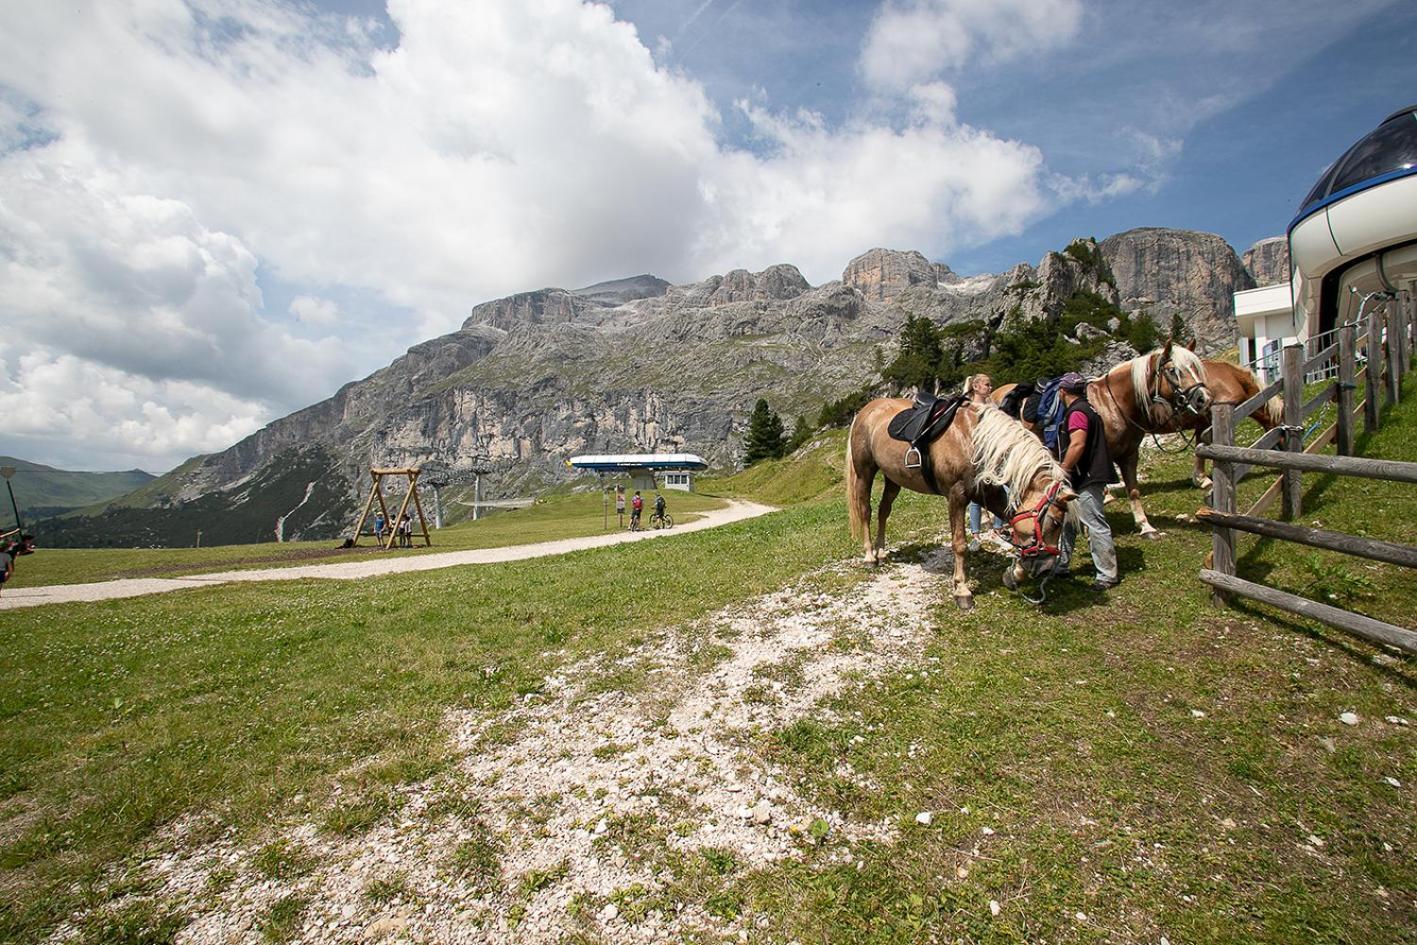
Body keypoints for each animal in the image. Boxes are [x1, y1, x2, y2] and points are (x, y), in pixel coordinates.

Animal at [844, 402, 1065, 614]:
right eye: (1055, 522)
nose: (1046, 569)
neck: (974, 443)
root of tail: (865, 411)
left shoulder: (989, 493)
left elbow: (1013, 521)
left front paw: (1015, 574)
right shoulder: (956, 496)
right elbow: (959, 544)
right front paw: (962, 590)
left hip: (893, 479)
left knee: (883, 511)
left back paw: (881, 552)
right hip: (864, 473)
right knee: (866, 511)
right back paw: (870, 556)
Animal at [991, 341, 1212, 538]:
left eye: (1195, 367)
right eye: (1173, 370)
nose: (1204, 399)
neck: (1113, 405)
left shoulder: (1129, 455)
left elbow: (1133, 490)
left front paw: (1146, 527)